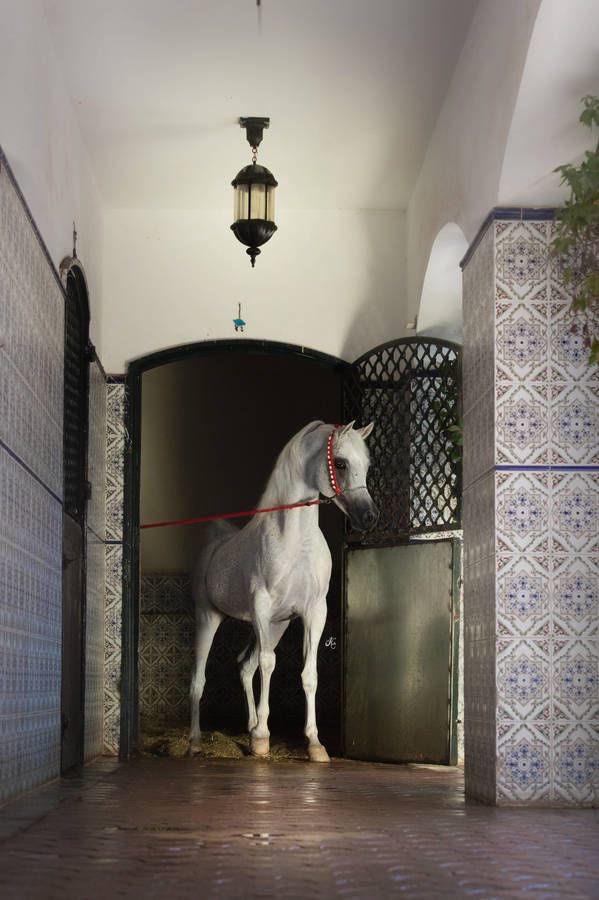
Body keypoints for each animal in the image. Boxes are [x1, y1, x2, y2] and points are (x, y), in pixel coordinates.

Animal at [188, 420, 378, 762]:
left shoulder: (313, 612)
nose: (369, 518)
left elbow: (309, 674)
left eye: (367, 465)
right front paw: (263, 738)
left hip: (275, 627)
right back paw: (195, 742)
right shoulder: (262, 609)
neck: (295, 542)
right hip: (209, 618)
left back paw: (249, 727)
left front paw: (314, 743)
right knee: (199, 679)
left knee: (245, 667)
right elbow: (269, 665)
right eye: (341, 463)